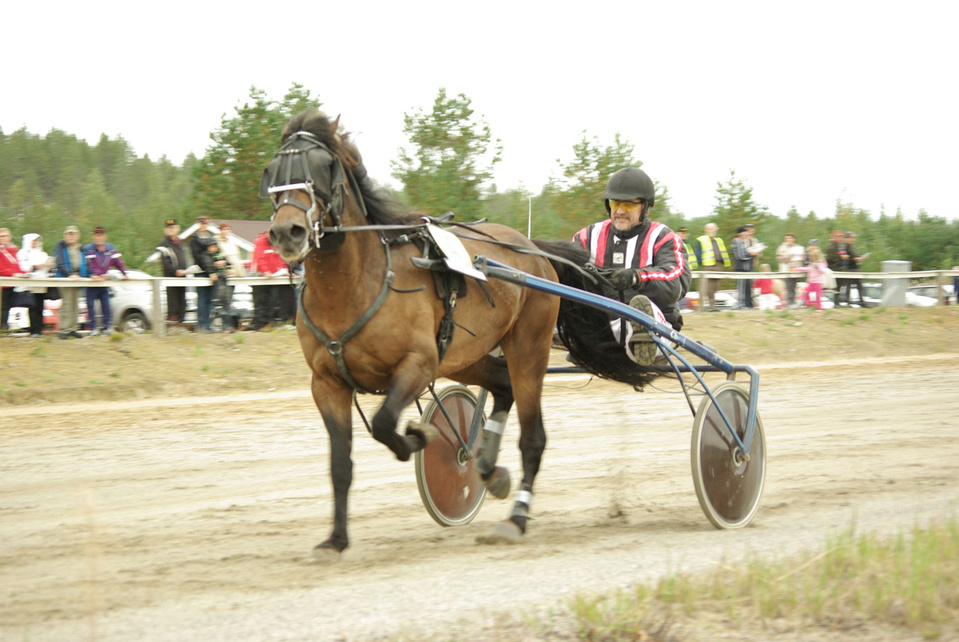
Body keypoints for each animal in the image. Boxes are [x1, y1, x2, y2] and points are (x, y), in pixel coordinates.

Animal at [263, 110, 655, 558]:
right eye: (272, 171)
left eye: (323, 166)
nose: (287, 232)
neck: (357, 284)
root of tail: (534, 251)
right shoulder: (326, 382)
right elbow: (340, 464)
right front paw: (336, 540)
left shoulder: (418, 364)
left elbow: (384, 424)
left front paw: (420, 435)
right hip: (467, 357)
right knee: (502, 386)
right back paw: (486, 466)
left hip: (527, 347)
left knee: (533, 437)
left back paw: (515, 518)